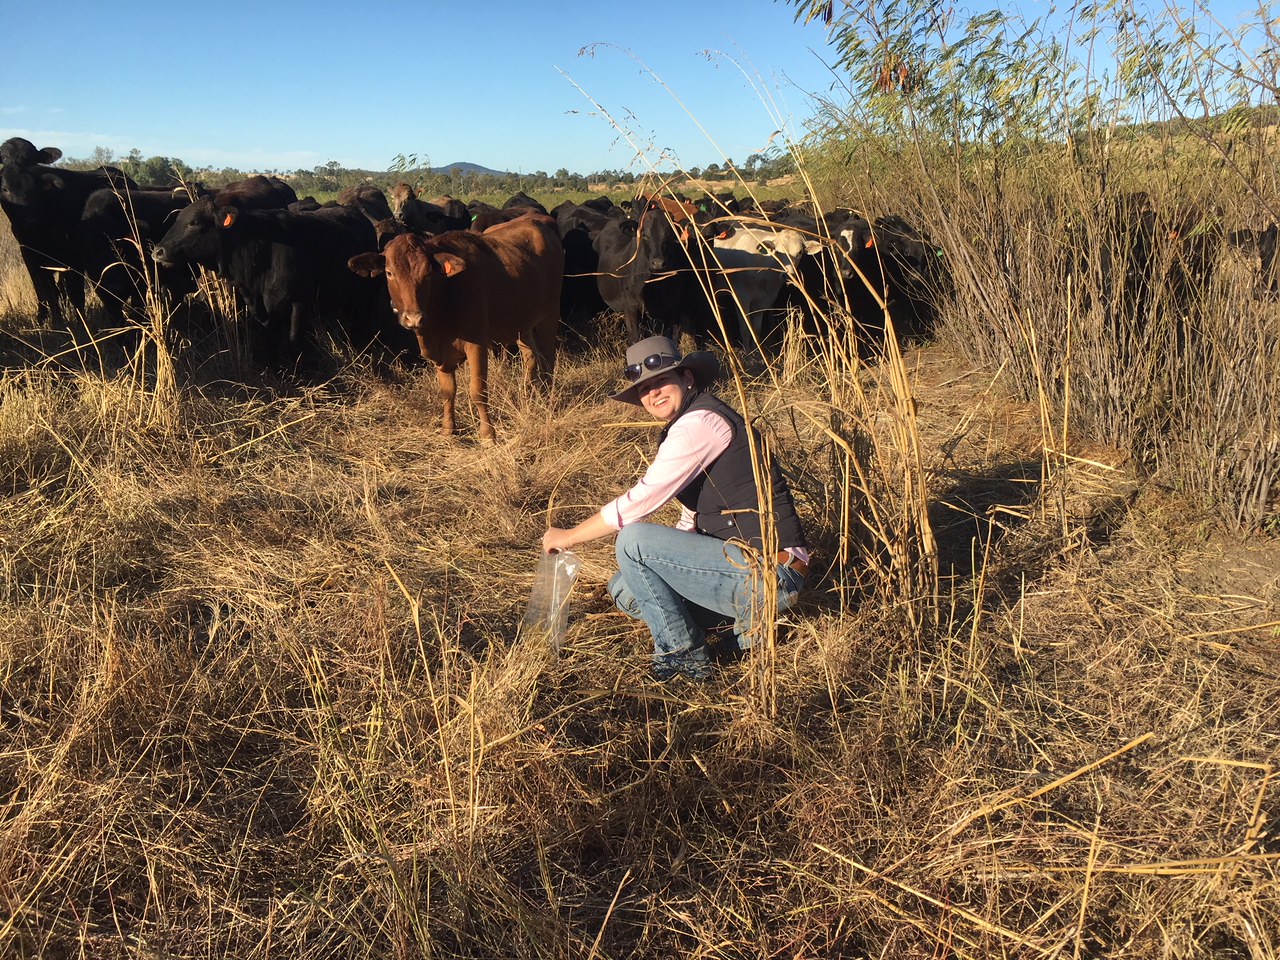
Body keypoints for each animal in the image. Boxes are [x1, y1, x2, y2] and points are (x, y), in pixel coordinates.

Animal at [348, 212, 563, 442]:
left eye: (428, 273)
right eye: (389, 273)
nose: (414, 319)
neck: (444, 297)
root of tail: (535, 218)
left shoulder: (476, 344)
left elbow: (478, 391)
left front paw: (487, 435)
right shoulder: (441, 352)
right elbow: (447, 390)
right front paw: (448, 429)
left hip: (549, 315)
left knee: (548, 360)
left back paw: (548, 400)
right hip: (523, 323)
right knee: (530, 359)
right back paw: (527, 395)